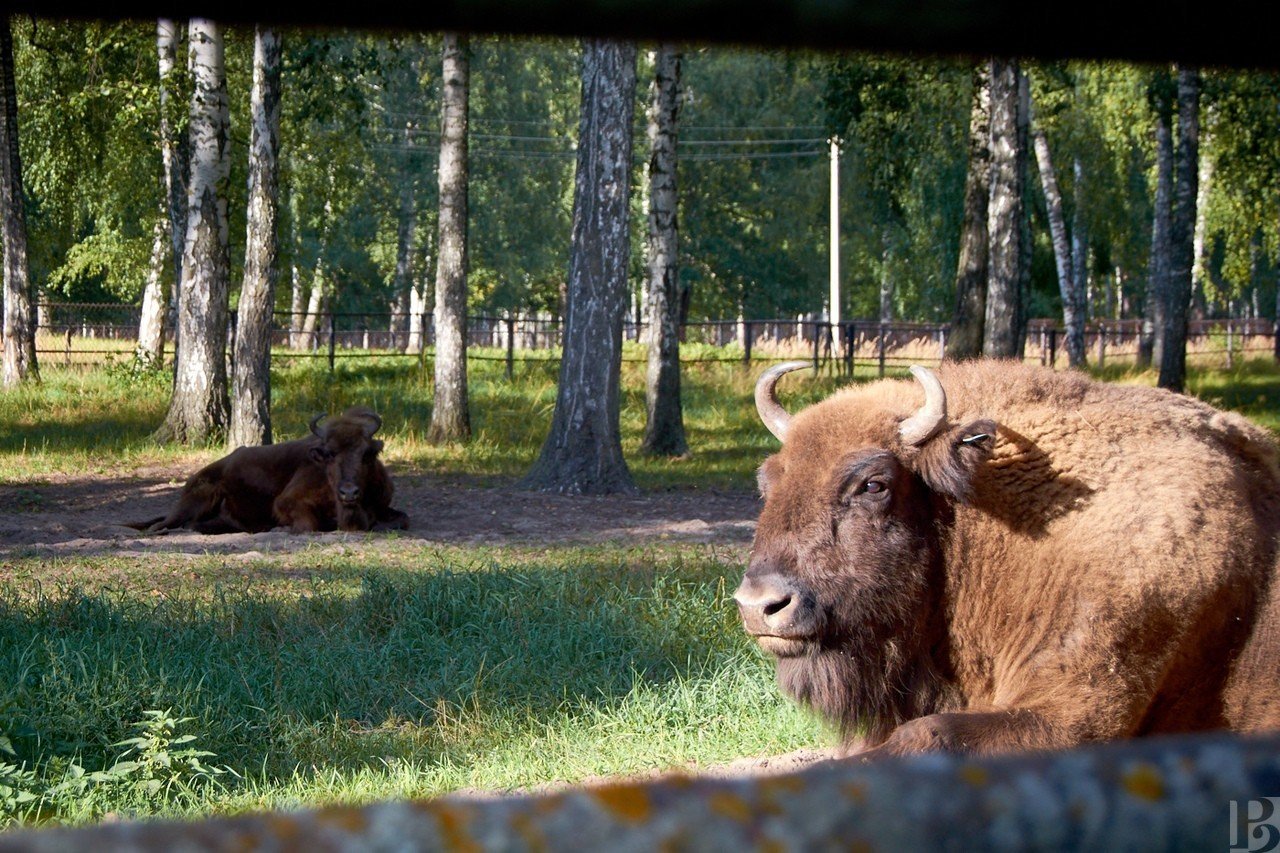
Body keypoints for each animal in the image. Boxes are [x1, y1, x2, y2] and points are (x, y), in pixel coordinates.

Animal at [126, 404, 407, 532]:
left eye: (367, 454)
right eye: (329, 454)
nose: (348, 493)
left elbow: (399, 518)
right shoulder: (287, 502)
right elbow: (309, 524)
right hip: (196, 501)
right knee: (160, 526)